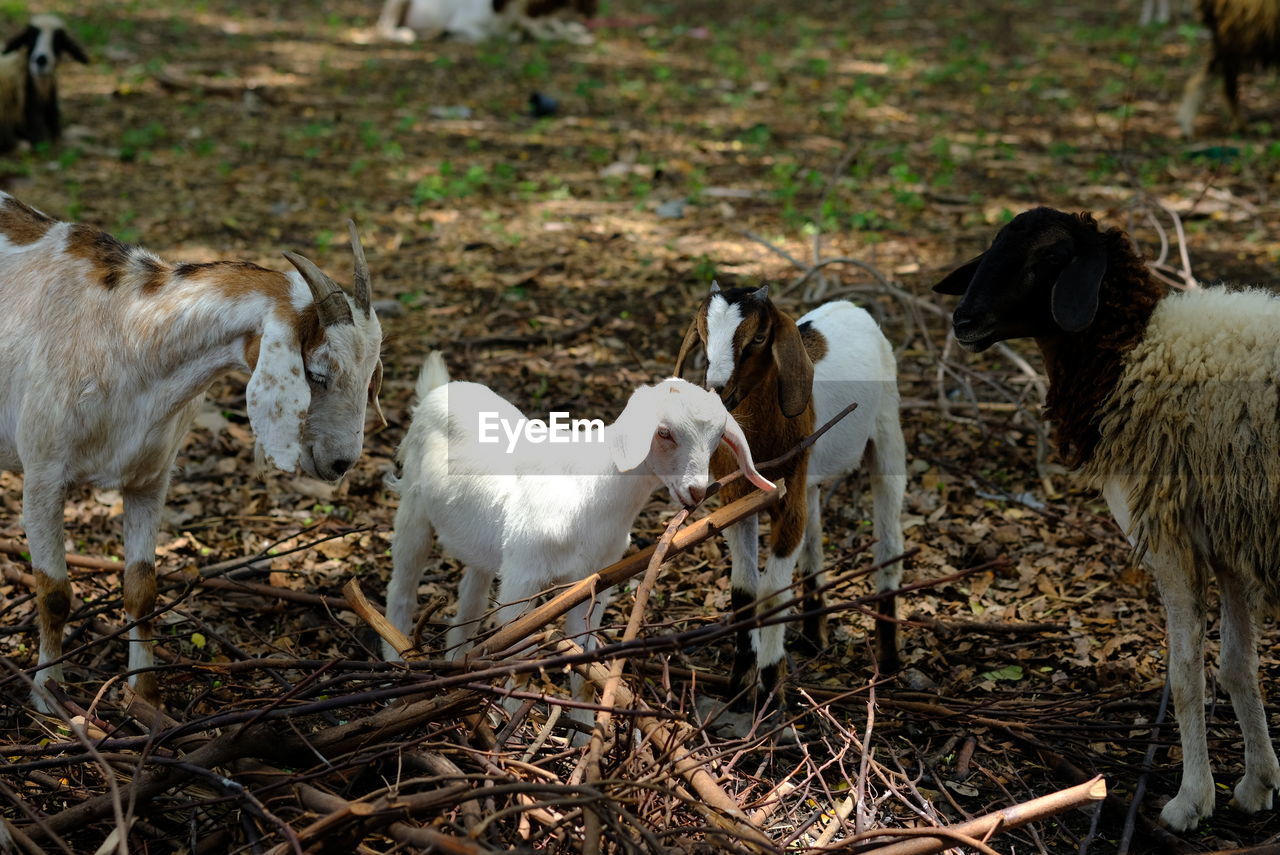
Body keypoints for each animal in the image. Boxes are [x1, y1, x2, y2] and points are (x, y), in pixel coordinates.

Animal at [936, 204, 1280, 829]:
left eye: (1051, 257)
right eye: (993, 245)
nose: (964, 319)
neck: (1129, 352)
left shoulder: (1171, 535)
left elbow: (1186, 675)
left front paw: (1191, 800)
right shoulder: (1229, 539)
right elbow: (1237, 666)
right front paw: (1257, 784)